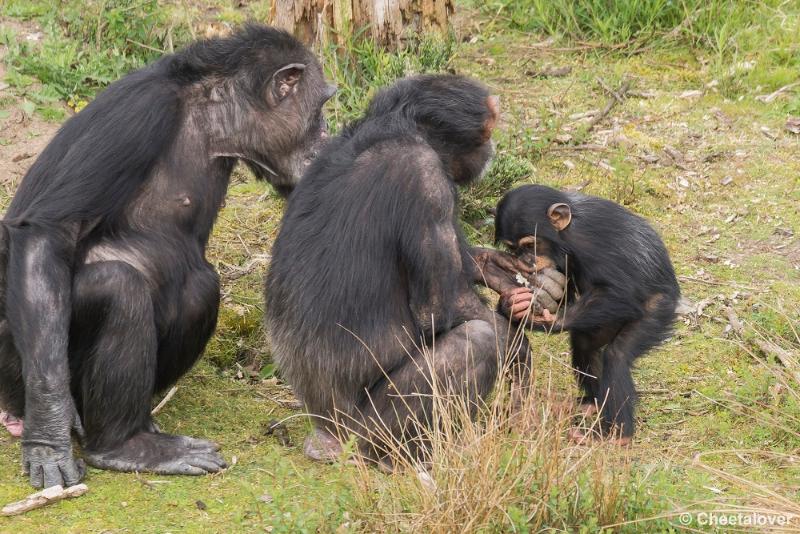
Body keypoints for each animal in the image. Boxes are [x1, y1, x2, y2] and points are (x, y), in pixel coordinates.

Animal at [0, 24, 336, 490]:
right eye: (320, 106)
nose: (328, 134)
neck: (211, 116)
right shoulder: (137, 115)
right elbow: (49, 230)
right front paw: (49, 437)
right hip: (14, 370)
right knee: (118, 288)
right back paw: (122, 444)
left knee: (199, 288)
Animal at [266, 74, 564, 464]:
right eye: (486, 132)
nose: (492, 147)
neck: (400, 128)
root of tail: (325, 436)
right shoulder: (427, 180)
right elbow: (443, 307)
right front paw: (517, 344)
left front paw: (502, 272)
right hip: (367, 429)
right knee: (476, 342)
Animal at [496, 184, 680, 444]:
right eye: (513, 249)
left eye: (530, 245)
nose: (526, 261)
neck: (564, 236)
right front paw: (513, 304)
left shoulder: (588, 242)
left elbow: (622, 292)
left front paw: (549, 320)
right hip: (603, 320)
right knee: (585, 345)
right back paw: (593, 404)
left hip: (658, 309)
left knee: (617, 355)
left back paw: (616, 435)